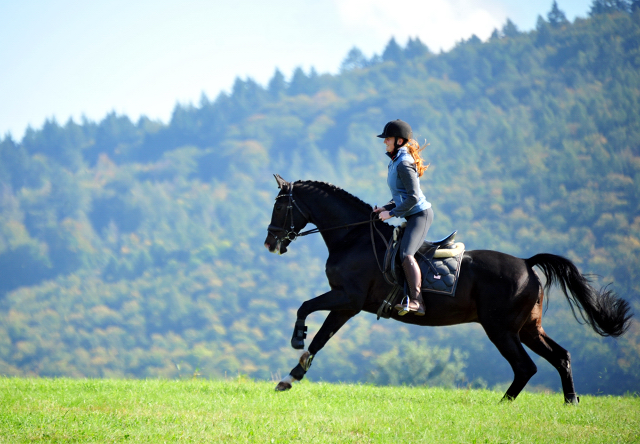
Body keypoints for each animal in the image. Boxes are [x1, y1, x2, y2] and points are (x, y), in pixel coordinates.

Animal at [262, 175, 632, 404]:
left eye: (280, 206)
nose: (270, 244)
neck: (353, 237)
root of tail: (527, 264)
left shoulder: (347, 299)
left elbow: (305, 309)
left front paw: (296, 340)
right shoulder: (346, 305)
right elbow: (321, 338)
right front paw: (292, 376)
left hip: (501, 329)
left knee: (526, 366)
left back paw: (502, 404)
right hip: (528, 327)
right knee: (560, 356)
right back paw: (571, 401)